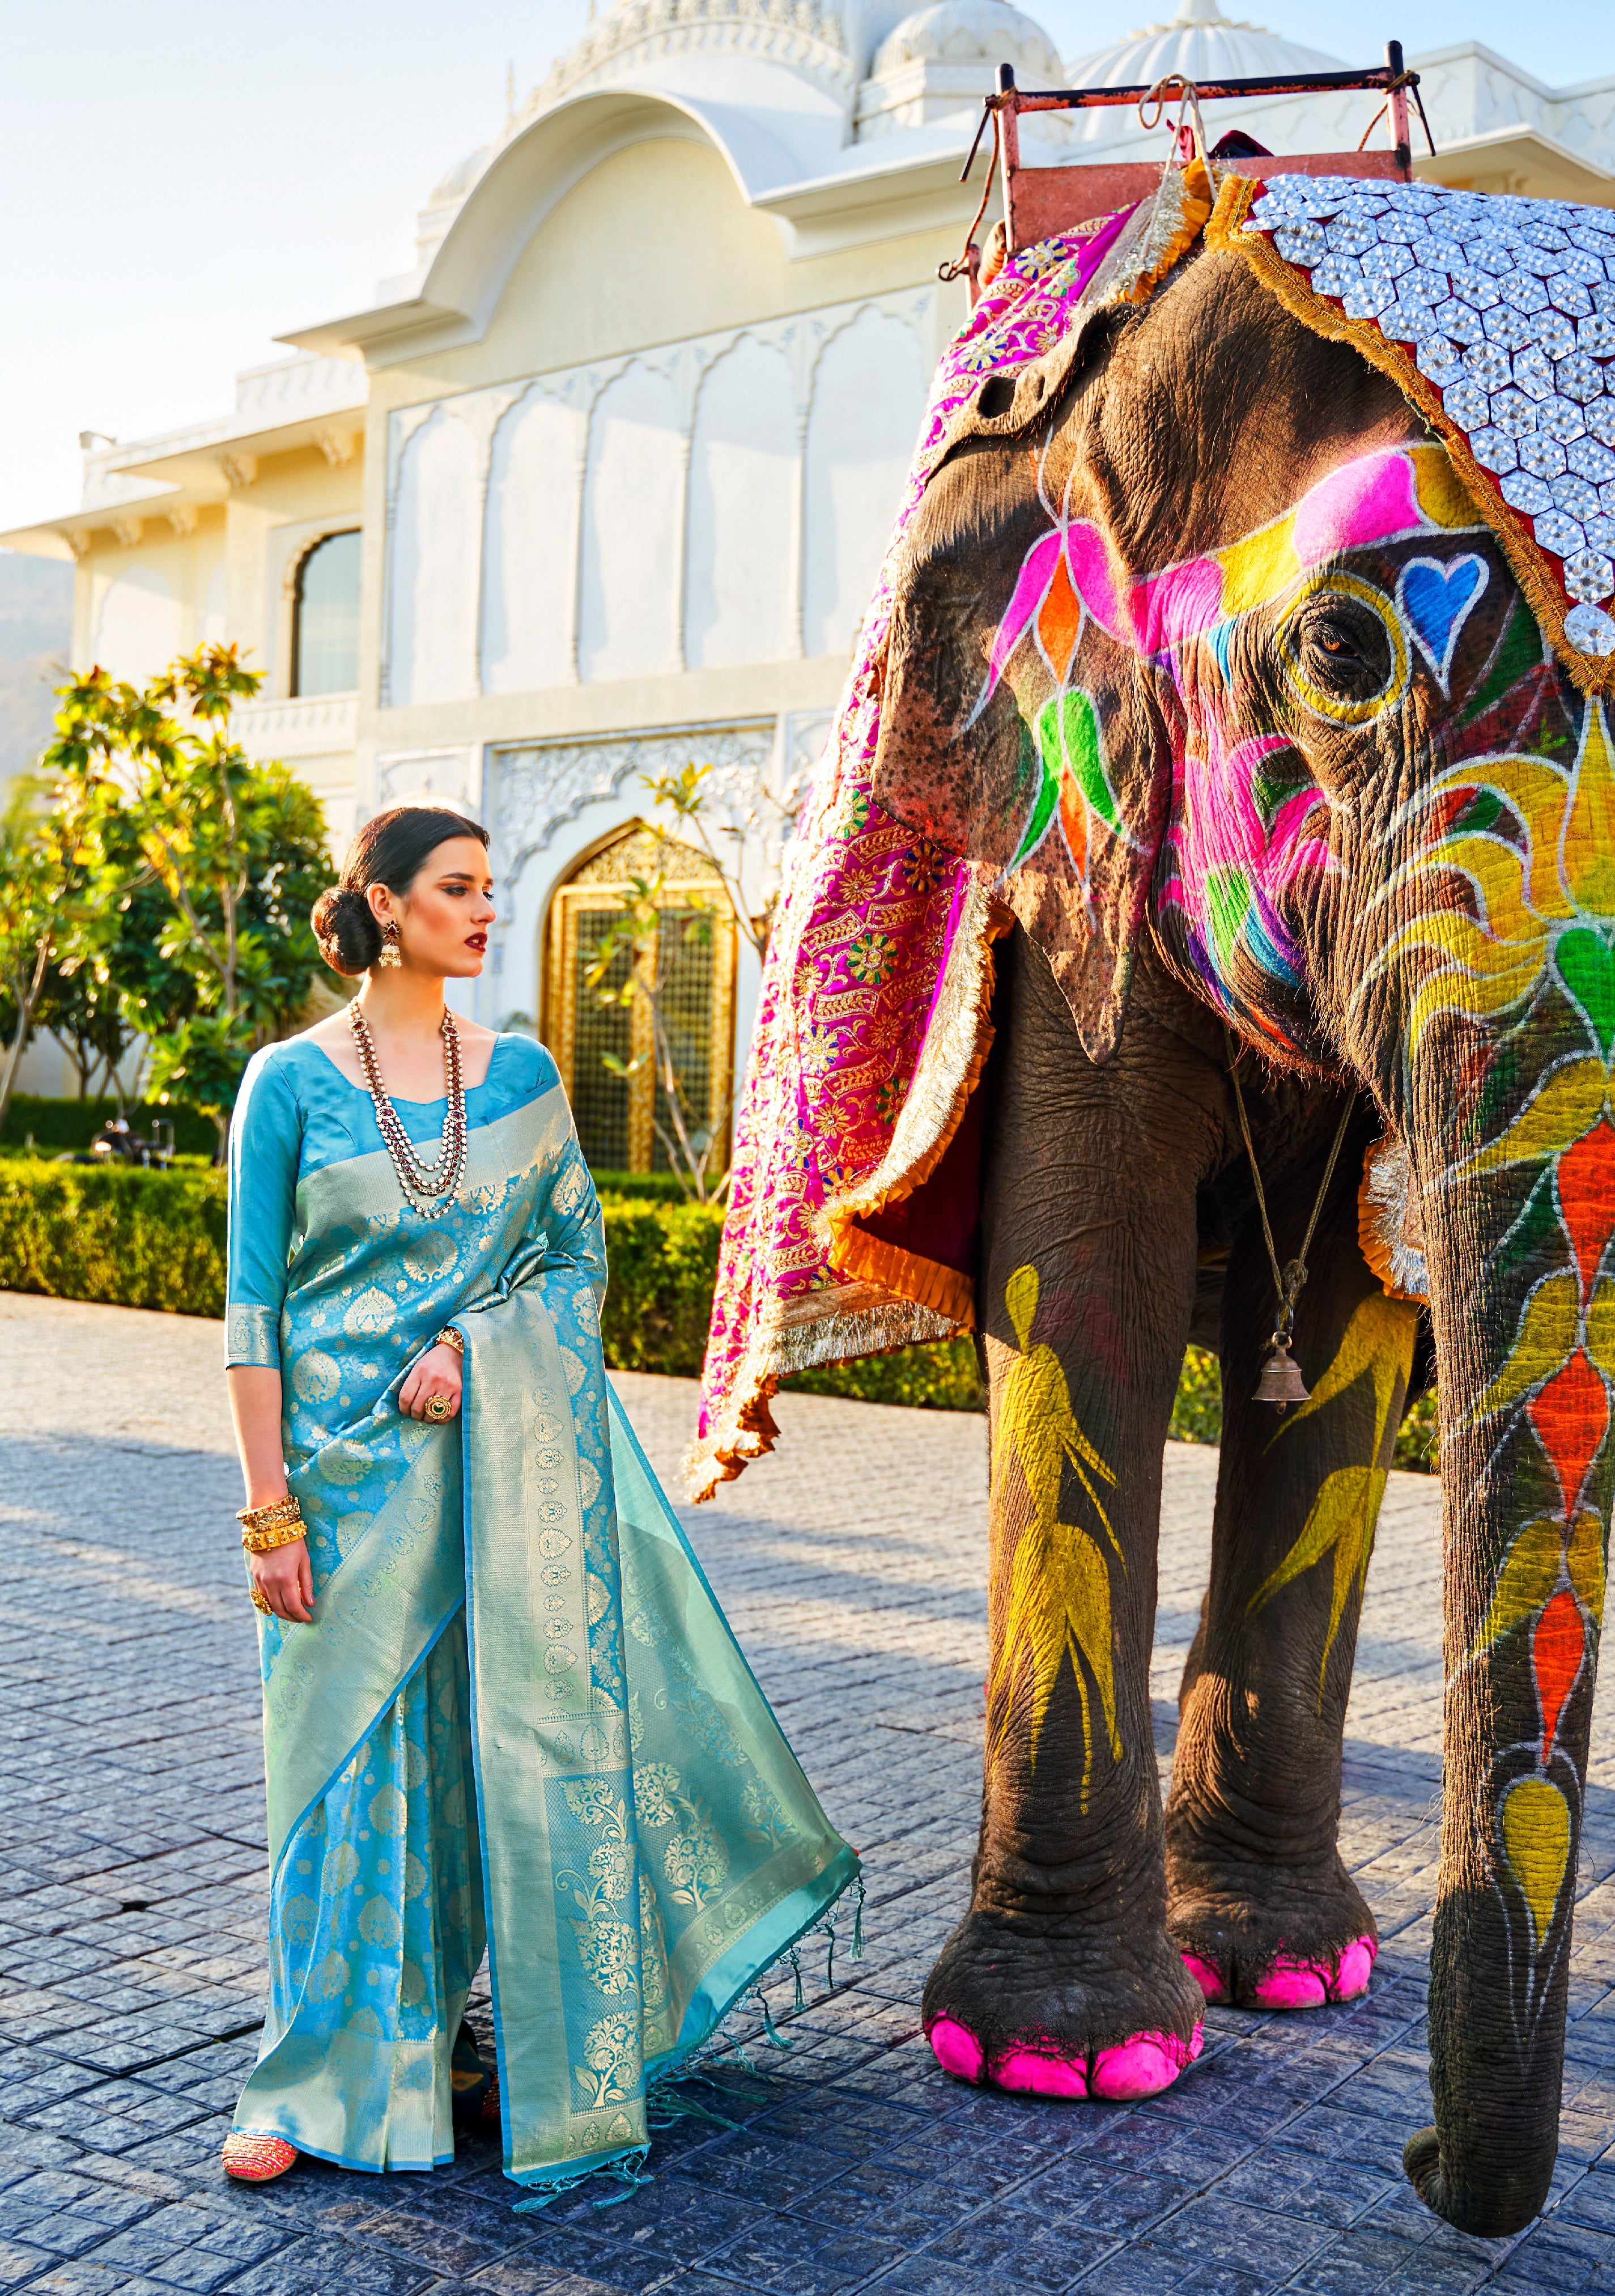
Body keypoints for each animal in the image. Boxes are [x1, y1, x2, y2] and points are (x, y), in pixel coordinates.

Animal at [862, 197, 1615, 2240]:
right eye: (1346, 651)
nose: (1423, 2159)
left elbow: (1349, 1366)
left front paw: (1283, 1975)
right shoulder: (1063, 861)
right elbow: (1087, 1303)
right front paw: (1068, 2065)